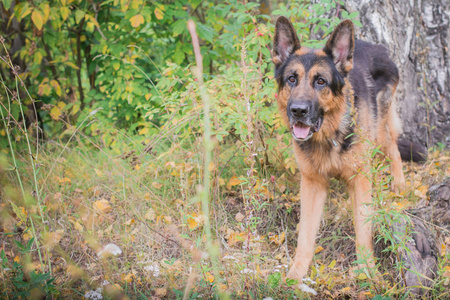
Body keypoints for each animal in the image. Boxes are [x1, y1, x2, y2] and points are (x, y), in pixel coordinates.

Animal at [270, 17, 426, 282]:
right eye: (291, 79)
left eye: (320, 81)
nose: (298, 111)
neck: (328, 136)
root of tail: (377, 47)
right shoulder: (311, 184)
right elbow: (305, 235)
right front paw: (296, 274)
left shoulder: (360, 180)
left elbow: (363, 227)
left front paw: (367, 271)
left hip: (378, 130)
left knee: (393, 148)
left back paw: (398, 183)